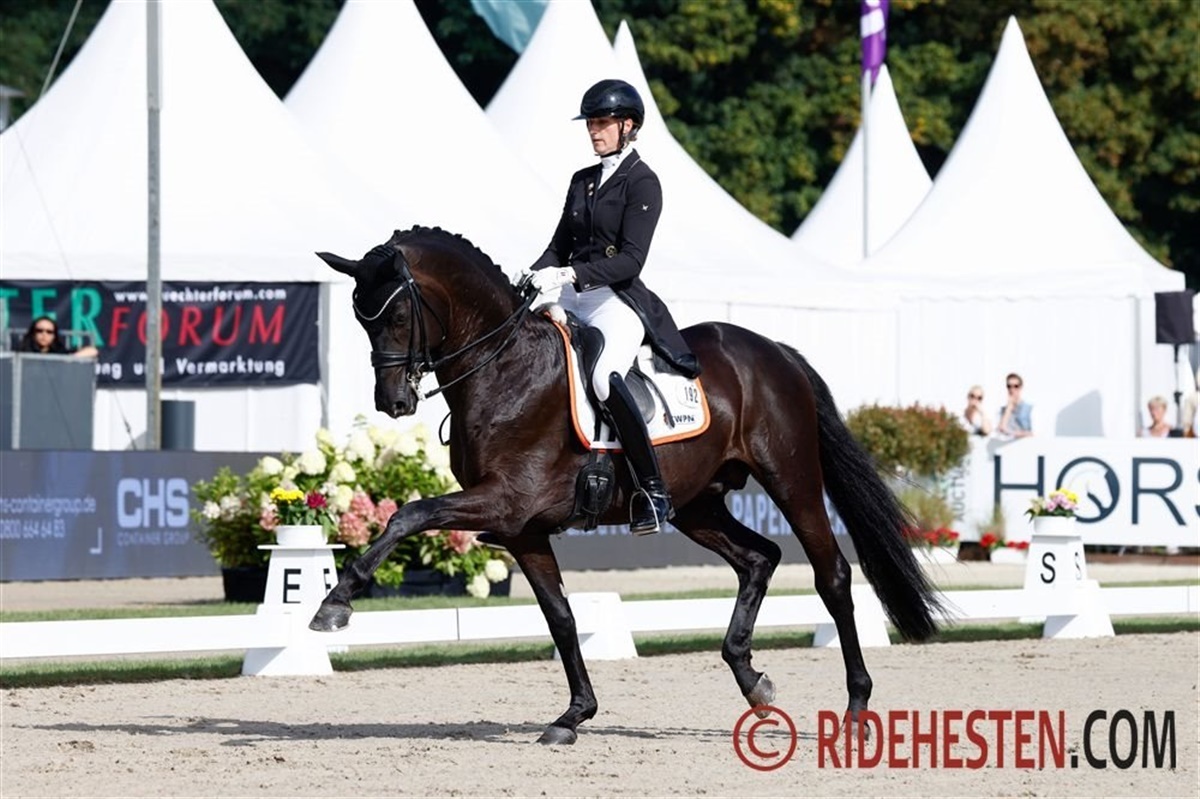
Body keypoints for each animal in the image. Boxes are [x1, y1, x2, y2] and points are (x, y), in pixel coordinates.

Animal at [310, 226, 942, 745]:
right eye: (362, 318)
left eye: (396, 316)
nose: (392, 402)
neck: (503, 367)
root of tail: (774, 351)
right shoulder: (521, 529)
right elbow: (561, 617)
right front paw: (573, 716)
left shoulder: (505, 502)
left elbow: (408, 514)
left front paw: (335, 604)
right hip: (696, 505)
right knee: (759, 558)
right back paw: (752, 680)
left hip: (792, 480)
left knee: (831, 575)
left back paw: (856, 709)